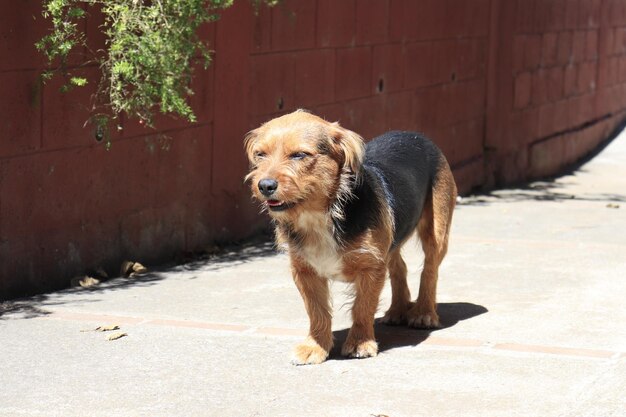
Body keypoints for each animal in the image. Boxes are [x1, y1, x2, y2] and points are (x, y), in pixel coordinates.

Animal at [243, 109, 454, 364]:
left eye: (299, 155)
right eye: (260, 154)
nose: (264, 185)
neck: (319, 215)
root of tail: (415, 135)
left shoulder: (371, 266)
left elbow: (362, 306)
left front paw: (360, 343)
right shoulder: (304, 271)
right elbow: (317, 311)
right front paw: (315, 346)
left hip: (437, 231)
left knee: (430, 270)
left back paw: (424, 312)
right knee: (399, 266)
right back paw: (397, 310)